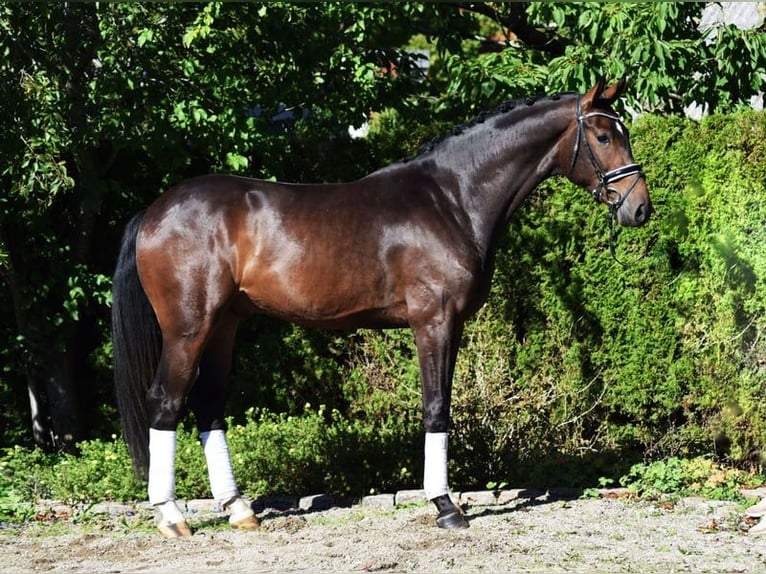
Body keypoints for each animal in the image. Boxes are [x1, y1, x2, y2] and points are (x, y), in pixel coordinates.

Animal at [112, 79, 656, 536]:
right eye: (603, 135)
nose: (640, 208)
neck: (451, 199)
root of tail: (153, 211)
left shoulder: (451, 325)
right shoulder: (433, 321)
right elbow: (436, 408)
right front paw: (446, 506)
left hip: (224, 325)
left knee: (209, 407)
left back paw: (240, 510)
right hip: (189, 327)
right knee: (165, 402)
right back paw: (171, 517)